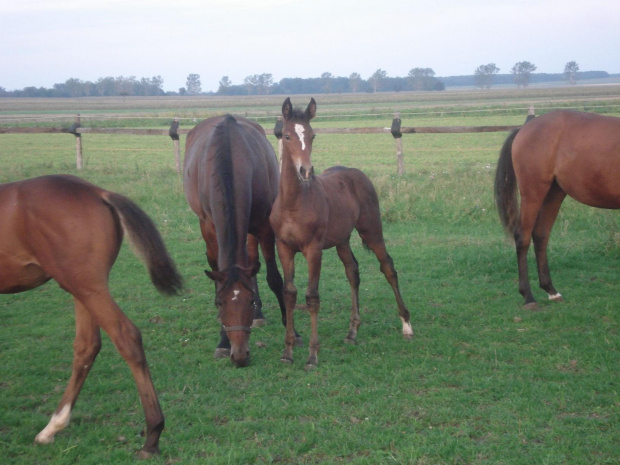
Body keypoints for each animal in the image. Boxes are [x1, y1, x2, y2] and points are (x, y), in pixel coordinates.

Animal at [0, 174, 183, 456]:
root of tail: (98, 192)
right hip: (81, 287)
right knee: (87, 345)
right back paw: (51, 428)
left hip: (86, 287)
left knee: (126, 336)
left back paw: (152, 436)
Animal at [183, 113, 296, 366]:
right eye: (220, 303)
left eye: (250, 301)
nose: (240, 355)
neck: (231, 161)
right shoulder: (210, 227)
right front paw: (223, 342)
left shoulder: (263, 225)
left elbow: (274, 277)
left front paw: (292, 330)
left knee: (252, 260)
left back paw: (260, 315)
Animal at [270, 98, 412, 370]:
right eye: (287, 135)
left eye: (313, 135)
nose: (306, 171)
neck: (293, 203)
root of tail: (356, 172)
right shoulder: (284, 248)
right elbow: (289, 293)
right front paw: (287, 351)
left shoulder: (313, 250)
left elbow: (312, 297)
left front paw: (312, 356)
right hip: (342, 240)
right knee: (352, 272)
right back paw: (352, 332)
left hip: (371, 230)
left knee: (388, 267)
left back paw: (407, 324)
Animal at [494, 109, 620, 308]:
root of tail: (526, 127)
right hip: (533, 192)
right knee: (523, 237)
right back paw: (528, 297)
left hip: (555, 192)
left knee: (541, 234)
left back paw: (551, 291)